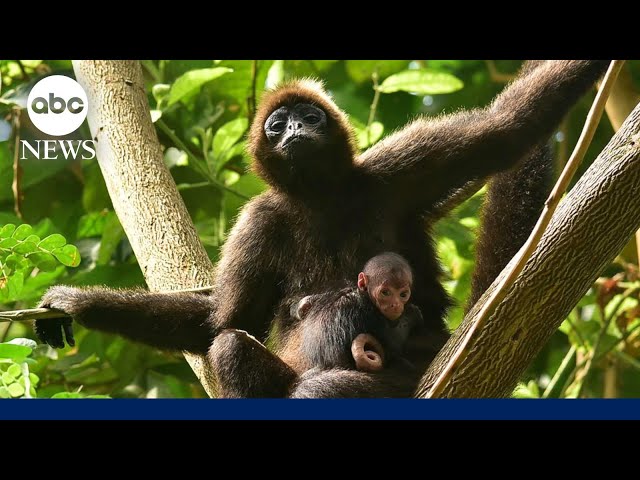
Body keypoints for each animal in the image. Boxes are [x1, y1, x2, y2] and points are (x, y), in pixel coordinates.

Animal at [35, 60, 608, 398]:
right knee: (231, 347)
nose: (294, 128)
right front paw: (77, 305)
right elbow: (221, 322)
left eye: (308, 117)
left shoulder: (394, 169)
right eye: (276, 125)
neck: (321, 199)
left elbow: (508, 127)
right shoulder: (258, 222)